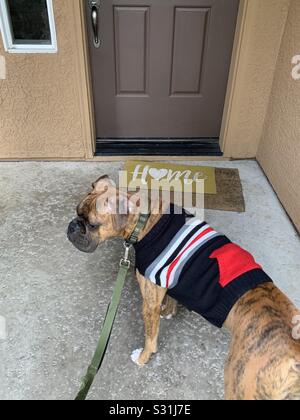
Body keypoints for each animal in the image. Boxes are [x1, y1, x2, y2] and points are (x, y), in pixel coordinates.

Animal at [68, 175, 300, 400]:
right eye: (77, 212)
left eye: (92, 225)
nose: (73, 226)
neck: (144, 220)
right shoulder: (169, 281)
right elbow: (172, 298)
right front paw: (167, 313)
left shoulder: (149, 302)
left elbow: (150, 338)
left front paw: (142, 358)